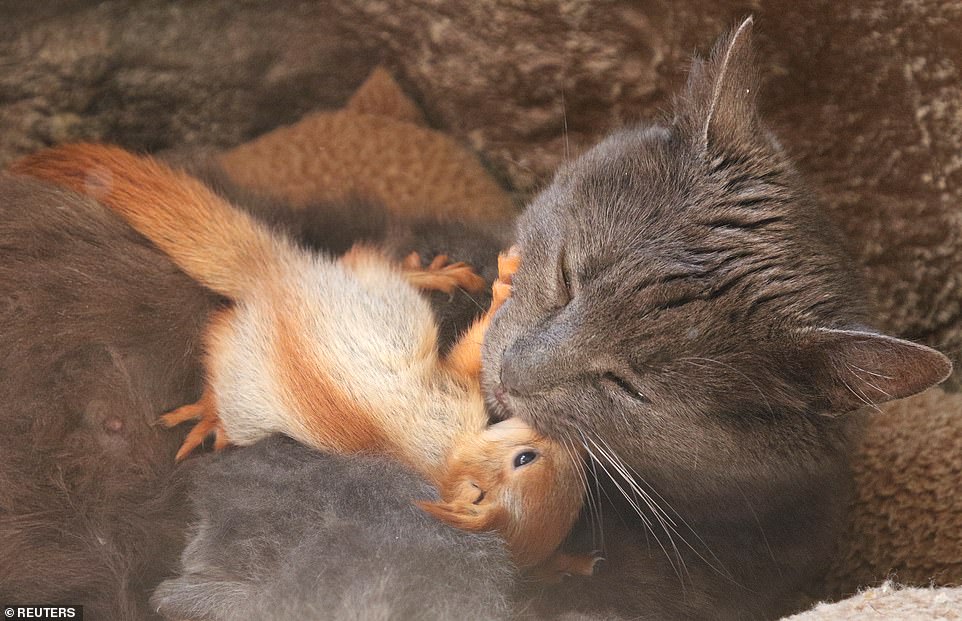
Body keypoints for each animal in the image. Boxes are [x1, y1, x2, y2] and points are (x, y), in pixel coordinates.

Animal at [15, 144, 596, 576]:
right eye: (526, 458)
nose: (567, 439)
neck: (446, 463)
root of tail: (270, 275)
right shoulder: (450, 397)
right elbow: (468, 356)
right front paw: (502, 289)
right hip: (373, 303)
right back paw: (441, 273)